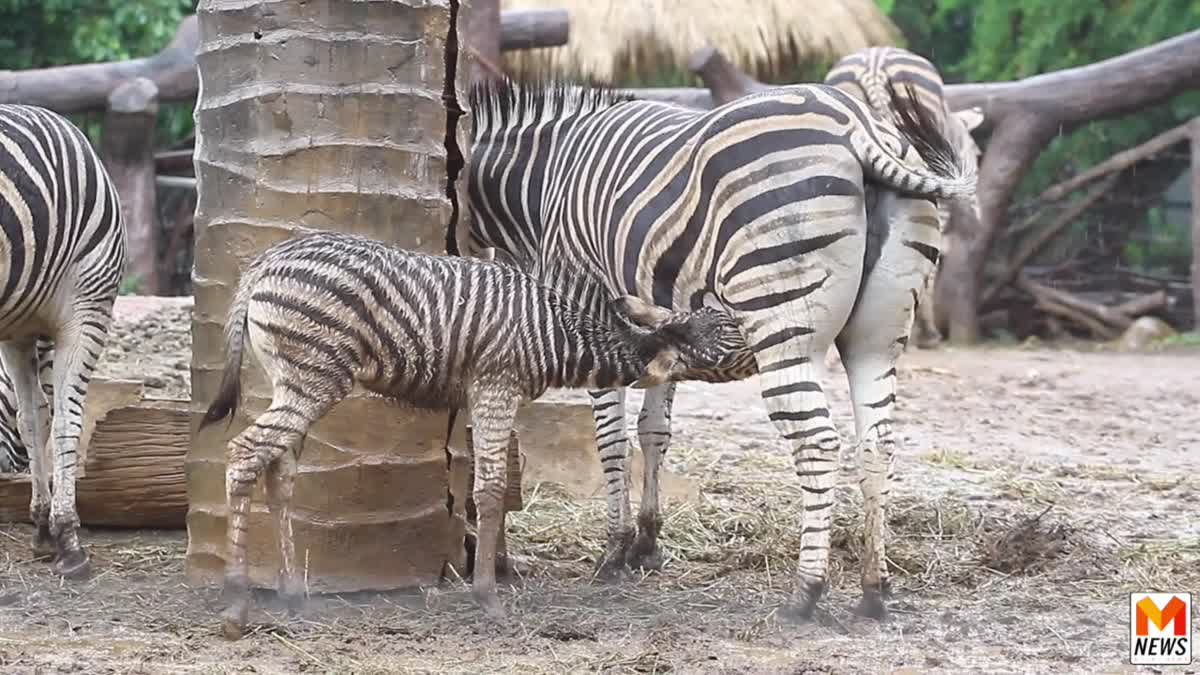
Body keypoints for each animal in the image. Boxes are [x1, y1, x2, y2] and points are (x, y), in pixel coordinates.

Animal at [0, 106, 124, 578]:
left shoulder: (16, 330)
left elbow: (33, 419)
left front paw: (42, 526)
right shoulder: (87, 308)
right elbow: (66, 420)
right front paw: (67, 536)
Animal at [196, 229, 739, 634]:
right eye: (733, 334)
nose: (758, 324)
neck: (555, 333)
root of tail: (267, 260)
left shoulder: (489, 395)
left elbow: (488, 488)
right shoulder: (496, 387)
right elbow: (492, 489)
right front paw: (488, 598)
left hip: (293, 382)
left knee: (277, 471)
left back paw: (292, 596)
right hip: (312, 379)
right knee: (244, 455)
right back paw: (236, 605)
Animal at [458, 76, 974, 619]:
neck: (540, 182)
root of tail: (856, 123)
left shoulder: (589, 306)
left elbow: (611, 439)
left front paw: (615, 550)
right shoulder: (660, 327)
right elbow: (654, 432)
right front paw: (647, 544)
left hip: (781, 318)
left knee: (817, 441)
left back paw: (806, 593)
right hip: (879, 336)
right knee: (877, 444)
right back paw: (874, 589)